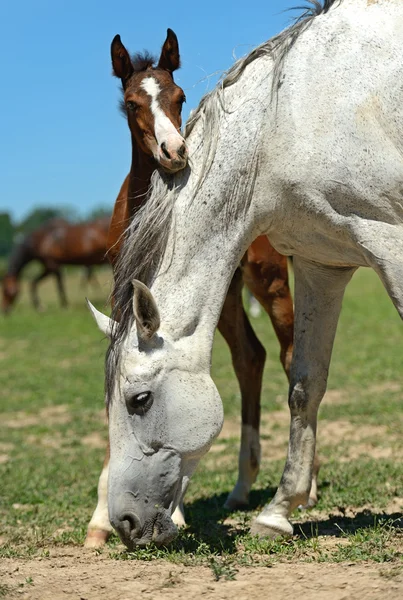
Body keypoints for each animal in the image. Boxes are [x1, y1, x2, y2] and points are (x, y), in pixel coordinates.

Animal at [90, 0, 403, 548]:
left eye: (140, 400)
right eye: (130, 104)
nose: (125, 523)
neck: (282, 123)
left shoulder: (392, 245)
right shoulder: (324, 264)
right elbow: (304, 383)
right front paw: (277, 511)